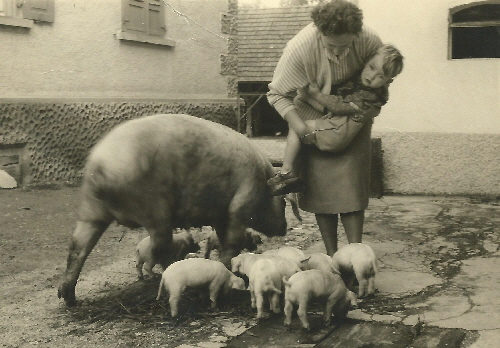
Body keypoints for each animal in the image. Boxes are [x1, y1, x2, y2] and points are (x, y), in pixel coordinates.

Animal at [58, 114, 290, 304]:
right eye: (284, 202)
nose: (285, 227)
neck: (263, 183)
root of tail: (101, 167)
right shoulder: (239, 206)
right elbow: (232, 243)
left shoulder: (221, 216)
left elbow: (224, 240)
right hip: (154, 209)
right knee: (160, 249)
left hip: (90, 211)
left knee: (76, 248)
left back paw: (69, 298)